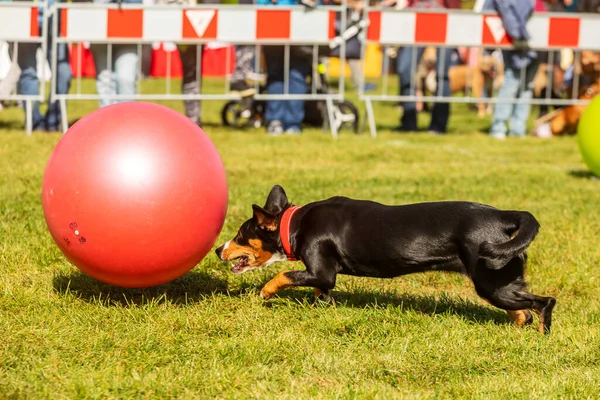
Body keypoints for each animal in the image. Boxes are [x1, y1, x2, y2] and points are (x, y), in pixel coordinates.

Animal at [216, 186, 556, 332]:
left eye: (241, 234)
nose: (219, 250)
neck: (295, 224)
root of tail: (504, 217)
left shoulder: (322, 272)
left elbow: (284, 276)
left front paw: (265, 293)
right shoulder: (323, 278)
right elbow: (320, 295)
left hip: (492, 282)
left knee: (544, 303)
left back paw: (542, 335)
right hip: (501, 283)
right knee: (523, 311)